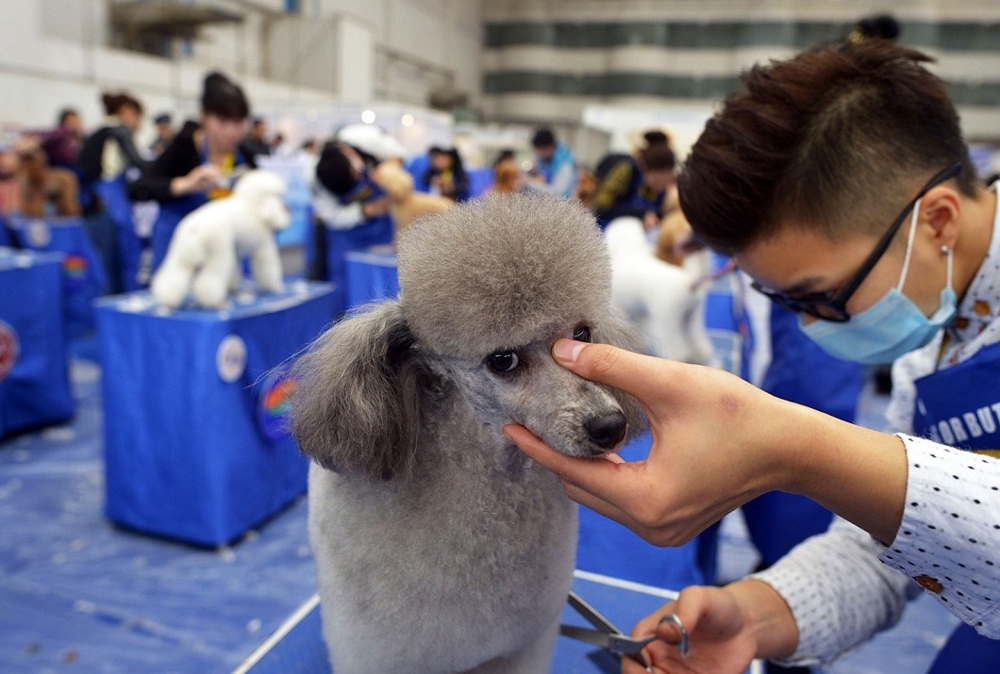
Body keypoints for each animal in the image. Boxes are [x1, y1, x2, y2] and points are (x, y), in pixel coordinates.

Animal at [150, 169, 290, 308]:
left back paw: (168, 298)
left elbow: (233, 272)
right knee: (209, 280)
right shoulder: (263, 248)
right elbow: (267, 268)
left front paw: (231, 287)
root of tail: (195, 228)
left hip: (181, 254)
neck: (253, 206)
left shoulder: (235, 251)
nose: (287, 209)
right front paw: (273, 286)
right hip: (218, 251)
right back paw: (213, 301)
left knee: (174, 276)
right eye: (278, 198)